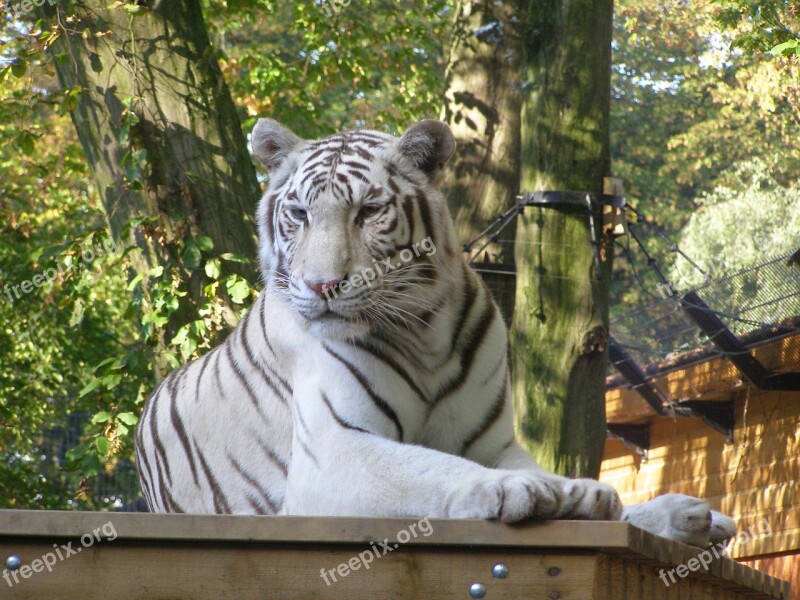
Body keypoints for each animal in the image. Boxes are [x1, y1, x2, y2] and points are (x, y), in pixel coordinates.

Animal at [134, 119, 736, 548]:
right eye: (300, 214)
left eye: (368, 211)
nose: (321, 285)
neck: (423, 331)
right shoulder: (332, 448)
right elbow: (428, 468)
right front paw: (526, 490)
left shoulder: (493, 442)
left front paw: (577, 492)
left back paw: (691, 516)